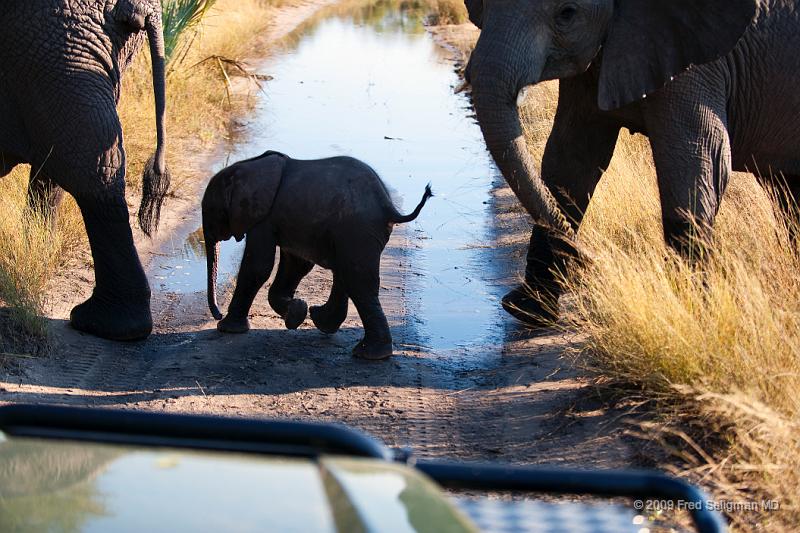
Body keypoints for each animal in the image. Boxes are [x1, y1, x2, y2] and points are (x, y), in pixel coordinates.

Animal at [205, 150, 432, 360]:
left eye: (211, 210)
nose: (217, 314)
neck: (246, 166)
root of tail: (389, 208)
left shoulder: (263, 219)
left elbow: (258, 267)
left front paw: (226, 329)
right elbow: (296, 266)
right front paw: (296, 313)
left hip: (357, 231)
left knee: (357, 281)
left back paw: (368, 354)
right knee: (347, 275)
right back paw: (323, 322)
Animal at [462, 0, 800, 324]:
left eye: (567, 14)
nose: (593, 260)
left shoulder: (698, 61)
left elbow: (700, 160)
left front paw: (688, 318)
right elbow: (571, 159)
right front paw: (527, 311)